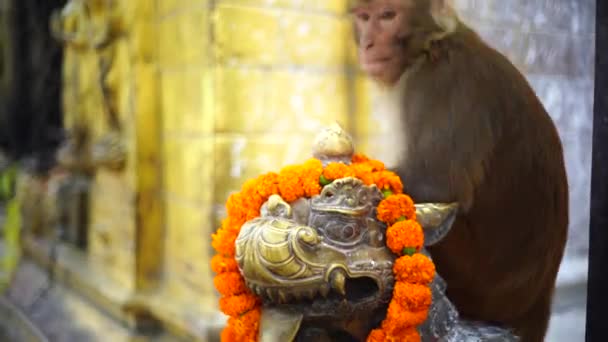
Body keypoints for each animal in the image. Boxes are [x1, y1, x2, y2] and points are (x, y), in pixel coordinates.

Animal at [352, 1, 568, 340]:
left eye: (388, 16)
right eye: (364, 18)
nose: (368, 44)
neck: (429, 48)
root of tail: (537, 306)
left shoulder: (442, 81)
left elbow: (436, 183)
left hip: (478, 285)